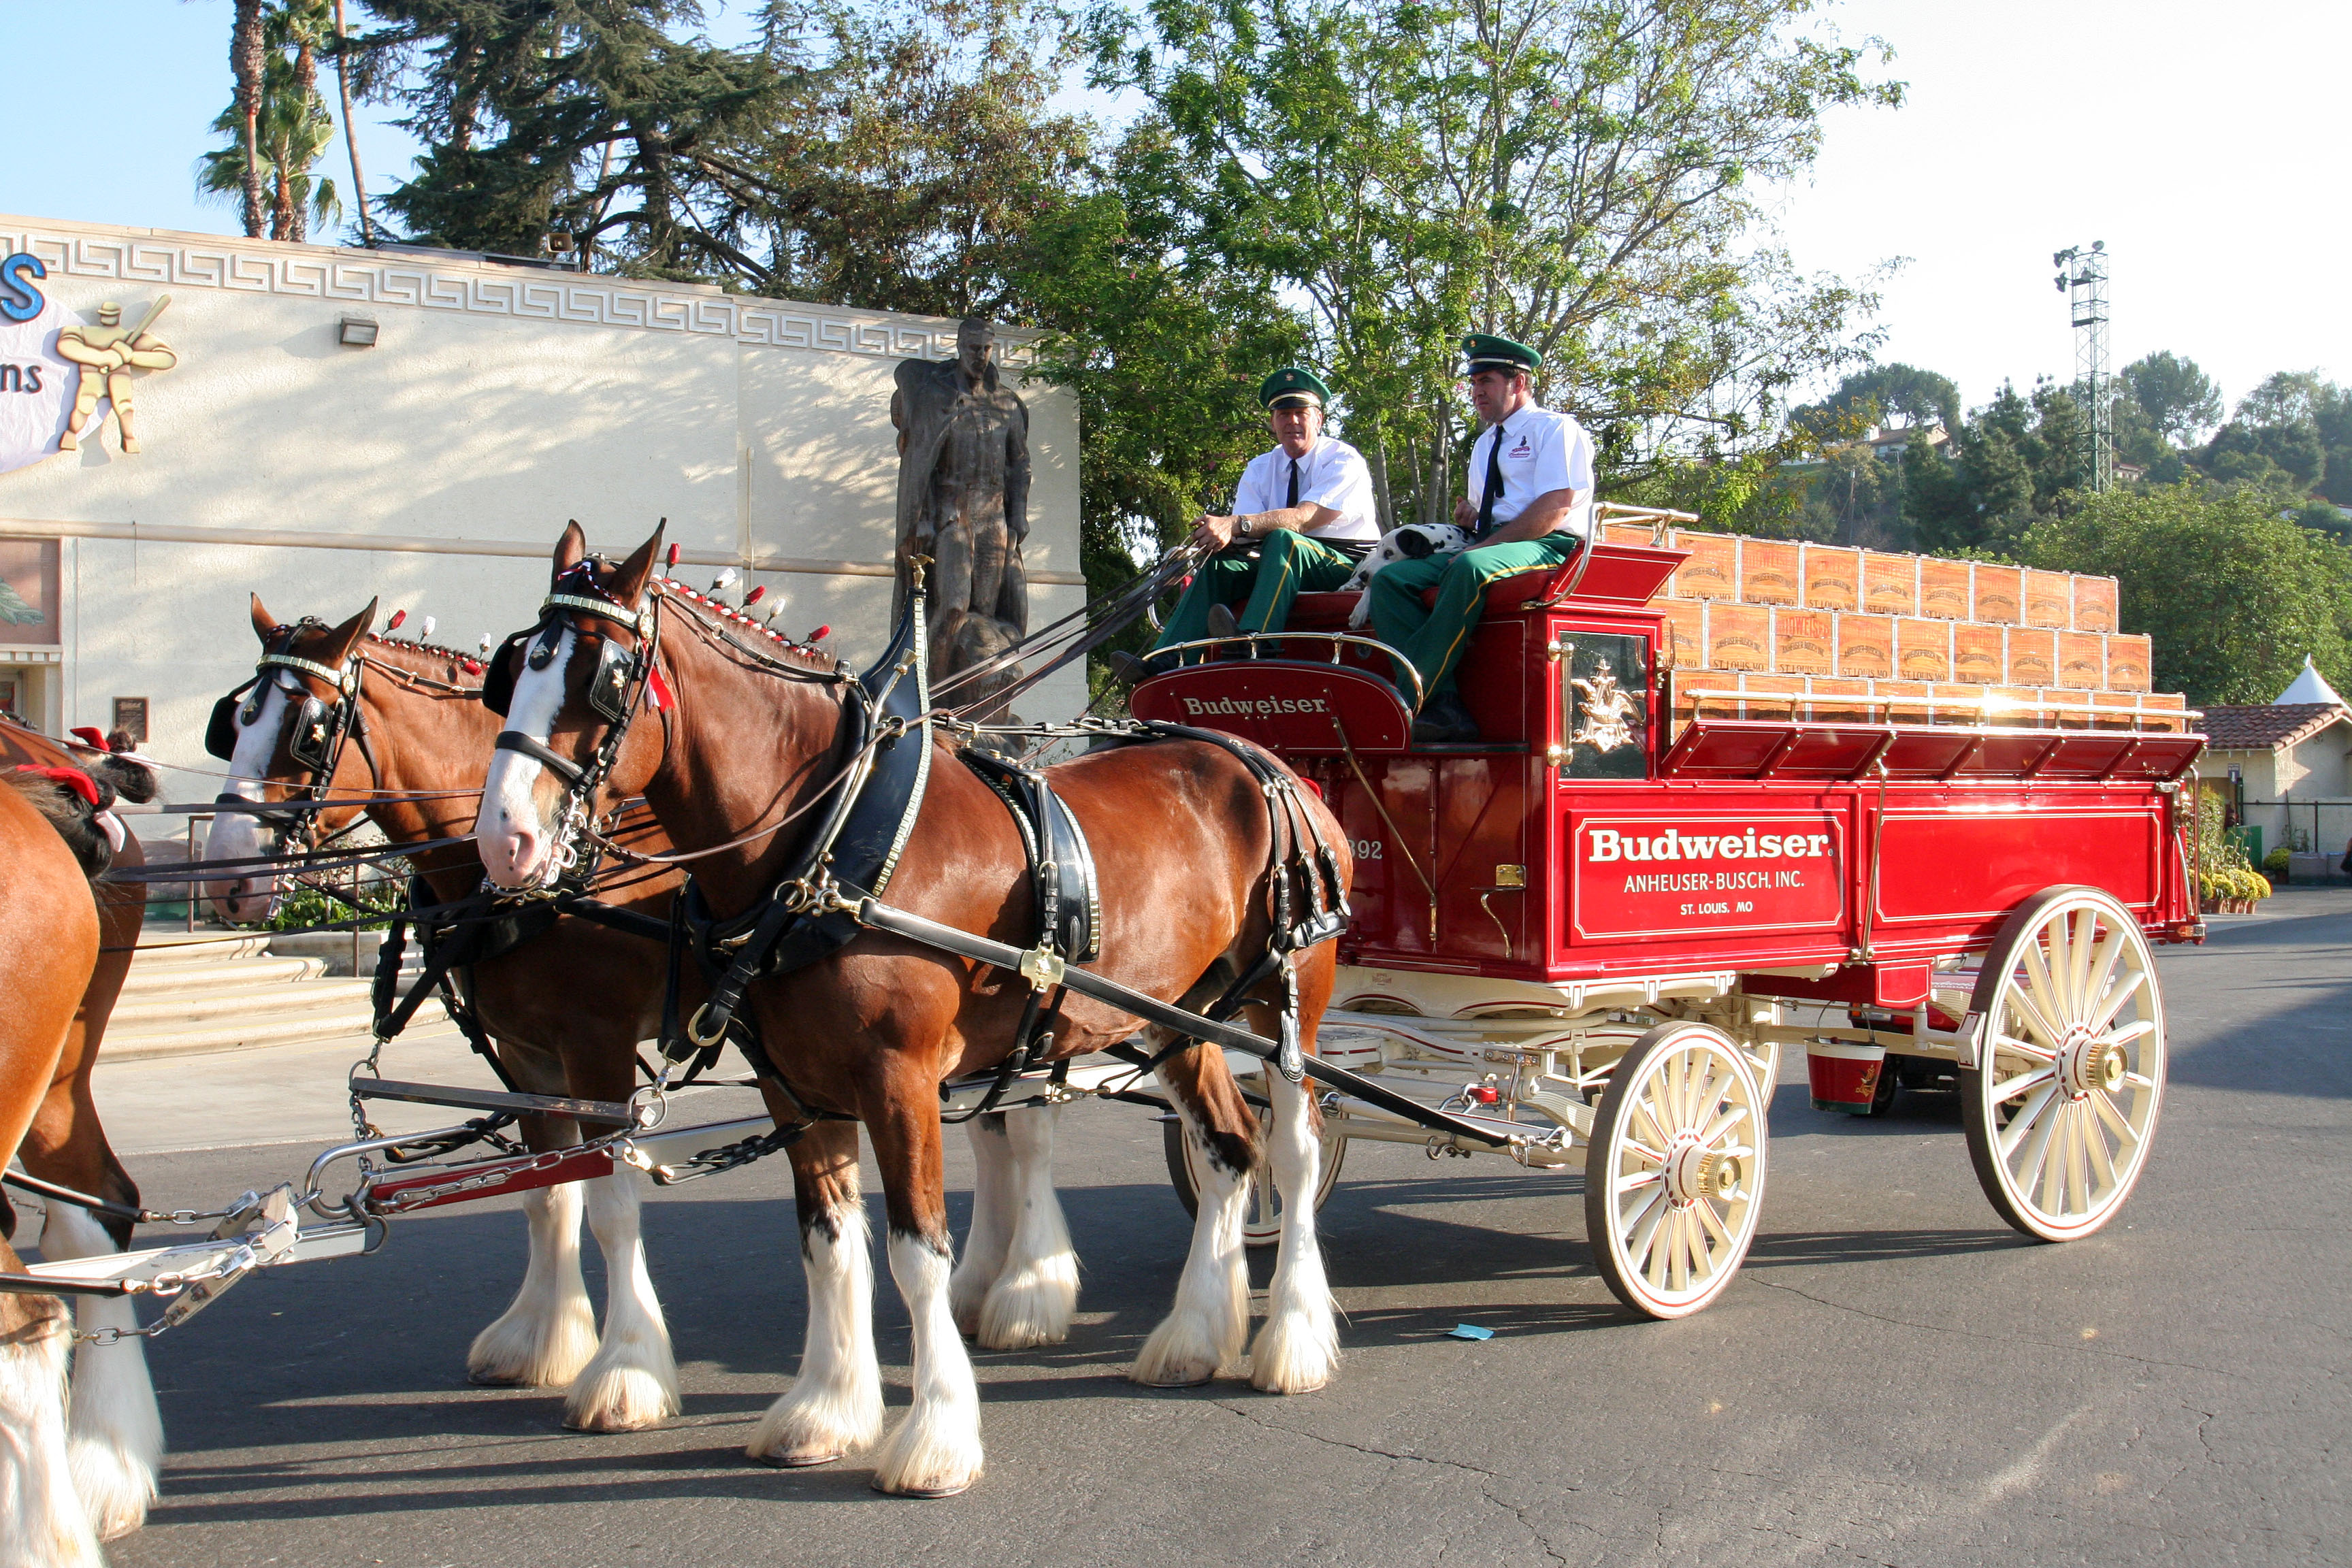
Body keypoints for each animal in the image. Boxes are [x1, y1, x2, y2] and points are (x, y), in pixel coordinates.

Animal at [193, 597, 1091, 1439]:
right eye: (235, 721)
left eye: (307, 731)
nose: (224, 881)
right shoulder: (527, 1057)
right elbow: (546, 1196)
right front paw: (541, 1335)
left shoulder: (593, 1045)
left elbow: (610, 1200)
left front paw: (625, 1372)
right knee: (998, 1123)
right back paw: (994, 1283)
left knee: (1030, 1127)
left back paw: (1028, 1288)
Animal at [472, 526, 1345, 1494]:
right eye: (513, 671)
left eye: (601, 678)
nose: (502, 839)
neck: (824, 848)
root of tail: (1265, 764)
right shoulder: (796, 1088)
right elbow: (828, 1244)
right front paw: (825, 1408)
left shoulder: (899, 1080)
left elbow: (916, 1251)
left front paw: (937, 1436)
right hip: (1180, 1013)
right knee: (1229, 1152)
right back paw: (1193, 1336)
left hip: (1288, 1001)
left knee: (1295, 1152)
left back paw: (1293, 1338)